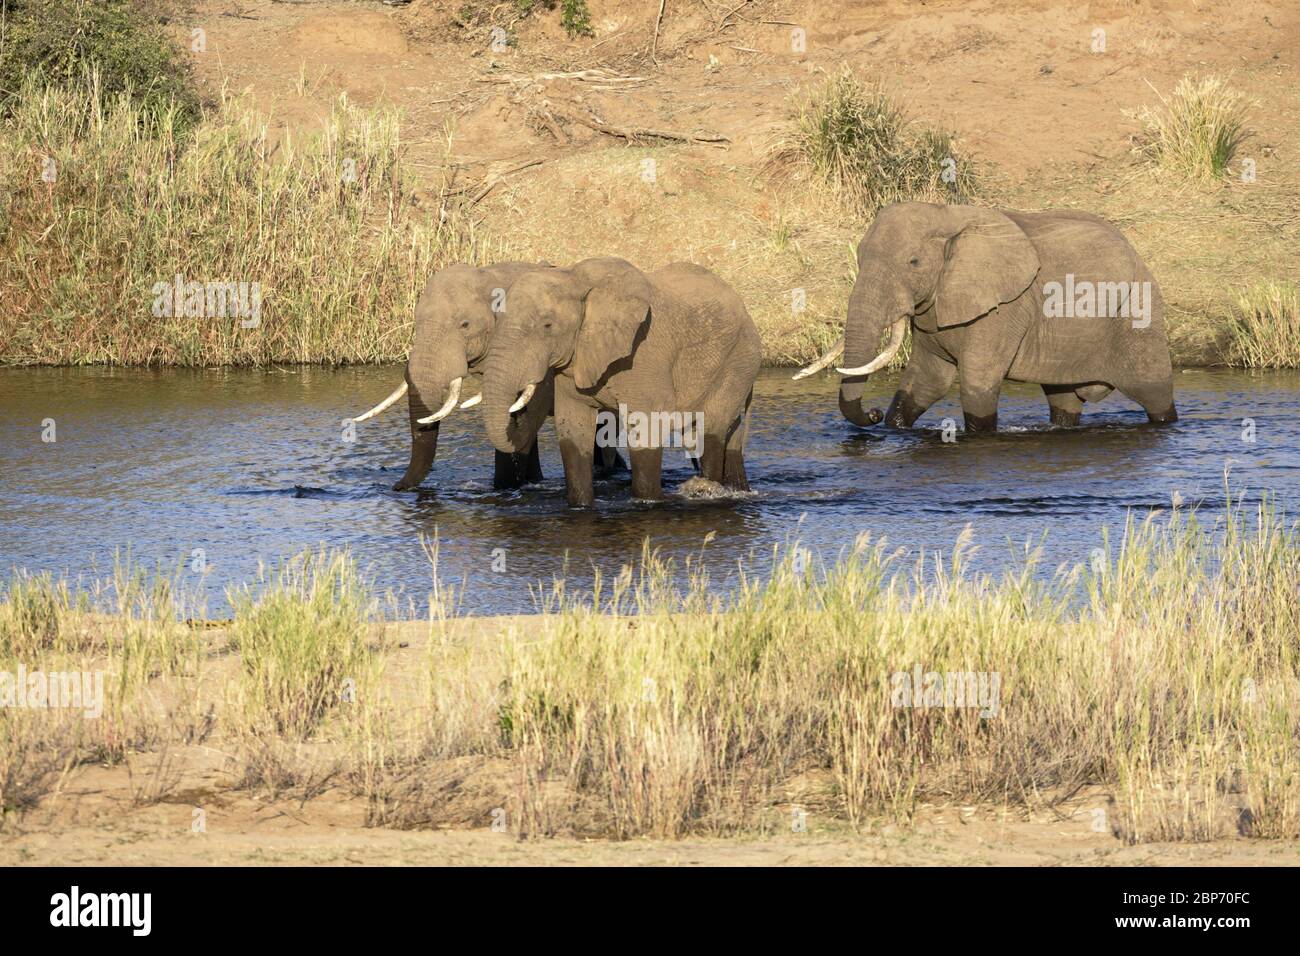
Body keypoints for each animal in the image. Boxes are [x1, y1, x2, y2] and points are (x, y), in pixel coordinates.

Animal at [351, 261, 624, 494]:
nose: (396, 487)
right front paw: (528, 482)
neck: (492, 275)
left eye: (465, 325)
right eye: (416, 323)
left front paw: (506, 488)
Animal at [478, 254, 759, 509]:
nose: (518, 411)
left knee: (711, 428)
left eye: (547, 325)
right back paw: (736, 489)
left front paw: (648, 501)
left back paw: (708, 490)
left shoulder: (642, 356)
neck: (573, 279)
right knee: (729, 436)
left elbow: (649, 422)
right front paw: (581, 506)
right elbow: (573, 429)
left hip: (738, 360)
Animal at [790, 205, 1180, 437]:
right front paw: (894, 426)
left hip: (1138, 312)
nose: (870, 414)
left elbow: (977, 385)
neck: (947, 216)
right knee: (1064, 401)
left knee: (1154, 395)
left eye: (914, 263)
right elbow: (928, 380)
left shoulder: (1005, 308)